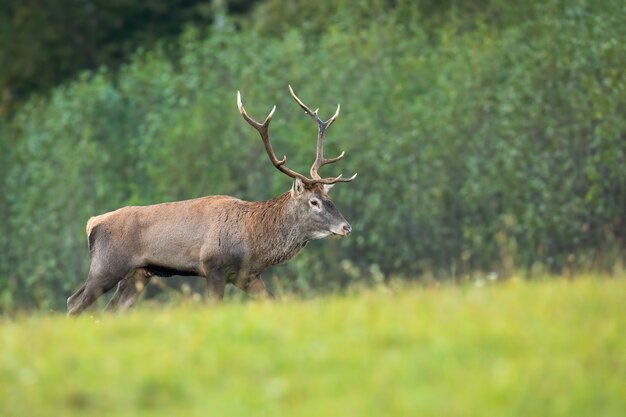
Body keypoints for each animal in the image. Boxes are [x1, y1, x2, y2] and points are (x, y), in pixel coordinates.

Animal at [67, 85, 356, 316]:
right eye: (314, 202)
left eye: (328, 197)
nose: (346, 226)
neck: (253, 240)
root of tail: (91, 223)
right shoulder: (213, 266)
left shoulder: (247, 276)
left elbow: (272, 302)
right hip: (106, 266)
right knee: (74, 302)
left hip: (138, 274)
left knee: (109, 310)